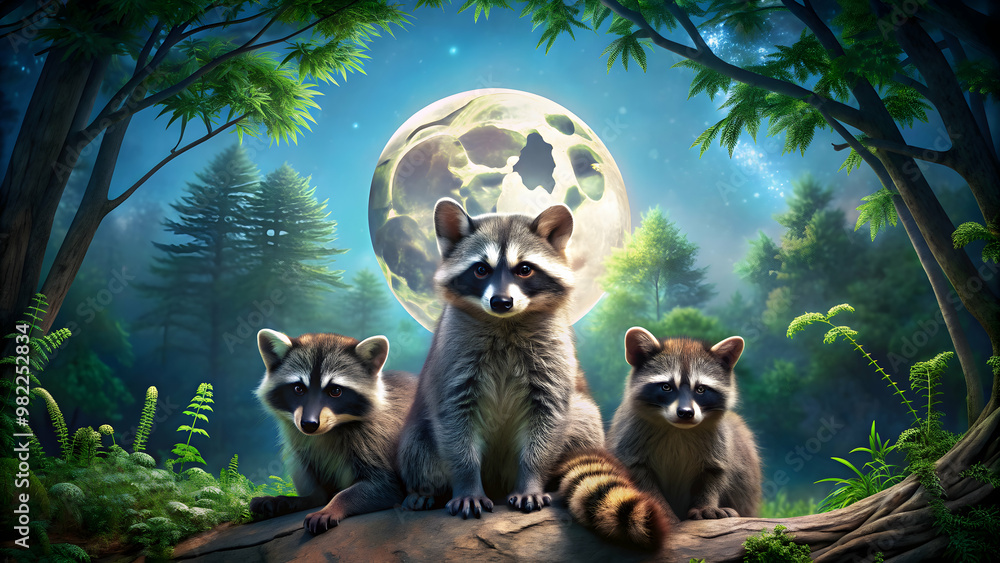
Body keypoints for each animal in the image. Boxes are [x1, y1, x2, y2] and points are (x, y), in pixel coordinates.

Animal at [250, 329, 416, 533]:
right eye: (298, 389)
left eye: (335, 391)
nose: (309, 424)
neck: (327, 431)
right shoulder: (301, 441)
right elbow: (318, 492)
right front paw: (297, 499)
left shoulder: (375, 438)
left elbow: (385, 485)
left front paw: (333, 505)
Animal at [397, 198, 608, 521]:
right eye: (481, 270)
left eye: (525, 269)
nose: (501, 302)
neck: (505, 323)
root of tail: (497, 485)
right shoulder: (453, 360)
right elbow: (455, 424)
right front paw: (467, 485)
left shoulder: (552, 358)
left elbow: (547, 420)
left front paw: (531, 480)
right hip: (418, 429)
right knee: (416, 447)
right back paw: (425, 490)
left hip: (582, 417)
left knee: (586, 417)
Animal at [605, 327, 761, 520]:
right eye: (666, 387)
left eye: (701, 389)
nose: (686, 413)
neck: (678, 429)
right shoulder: (628, 440)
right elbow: (640, 478)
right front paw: (661, 509)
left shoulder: (720, 444)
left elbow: (714, 475)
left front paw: (705, 505)